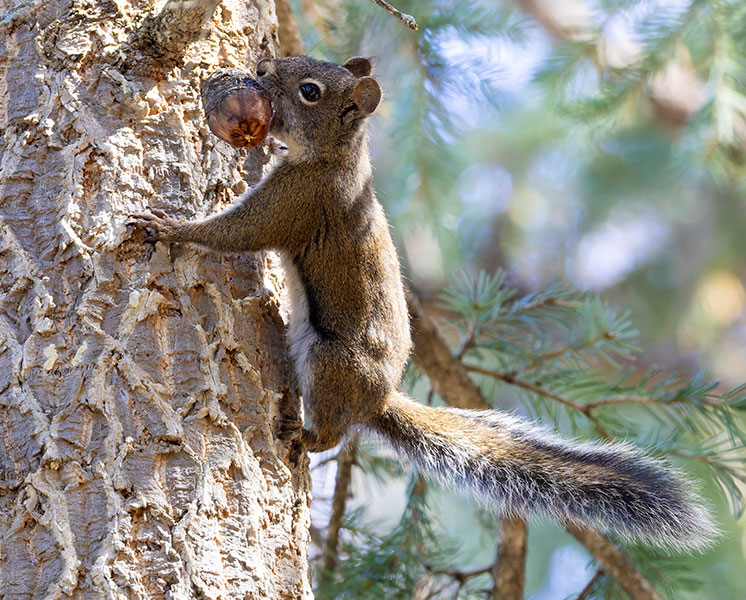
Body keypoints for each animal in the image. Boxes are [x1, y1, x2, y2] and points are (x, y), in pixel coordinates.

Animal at [129, 55, 716, 551]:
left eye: (309, 91)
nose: (261, 66)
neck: (337, 157)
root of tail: (378, 400)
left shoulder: (297, 201)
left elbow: (238, 232)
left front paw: (170, 228)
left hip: (331, 360)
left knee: (331, 433)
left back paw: (303, 433)